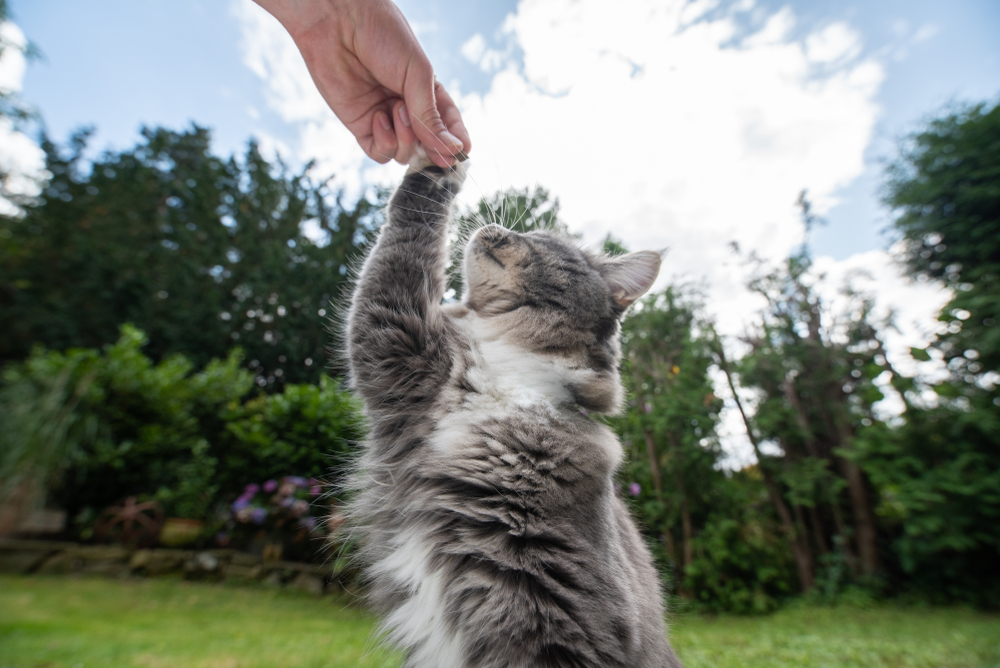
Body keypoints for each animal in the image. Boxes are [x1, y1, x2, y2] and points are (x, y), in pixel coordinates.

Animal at [342, 151, 680, 668]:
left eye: (544, 242)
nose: (496, 227)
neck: (509, 364)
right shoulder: (394, 343)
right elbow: (402, 243)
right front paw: (438, 156)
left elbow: (408, 233)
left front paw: (442, 165)